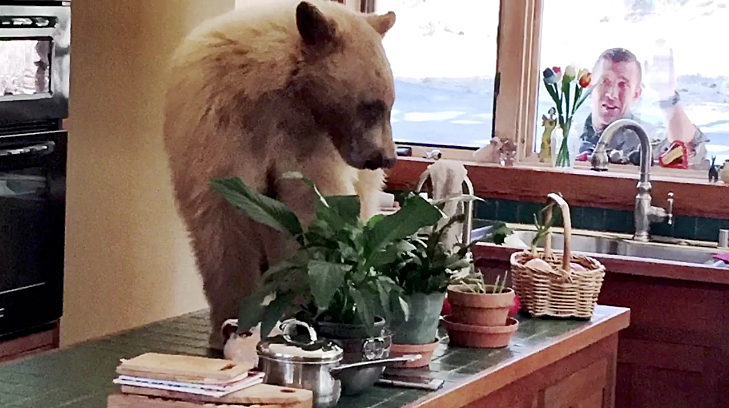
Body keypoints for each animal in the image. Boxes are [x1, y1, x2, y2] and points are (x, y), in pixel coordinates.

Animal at [162, 0, 398, 350]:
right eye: (371, 106)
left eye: (390, 104)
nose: (385, 158)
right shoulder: (221, 130)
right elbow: (224, 226)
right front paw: (230, 322)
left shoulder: (308, 146)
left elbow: (309, 210)